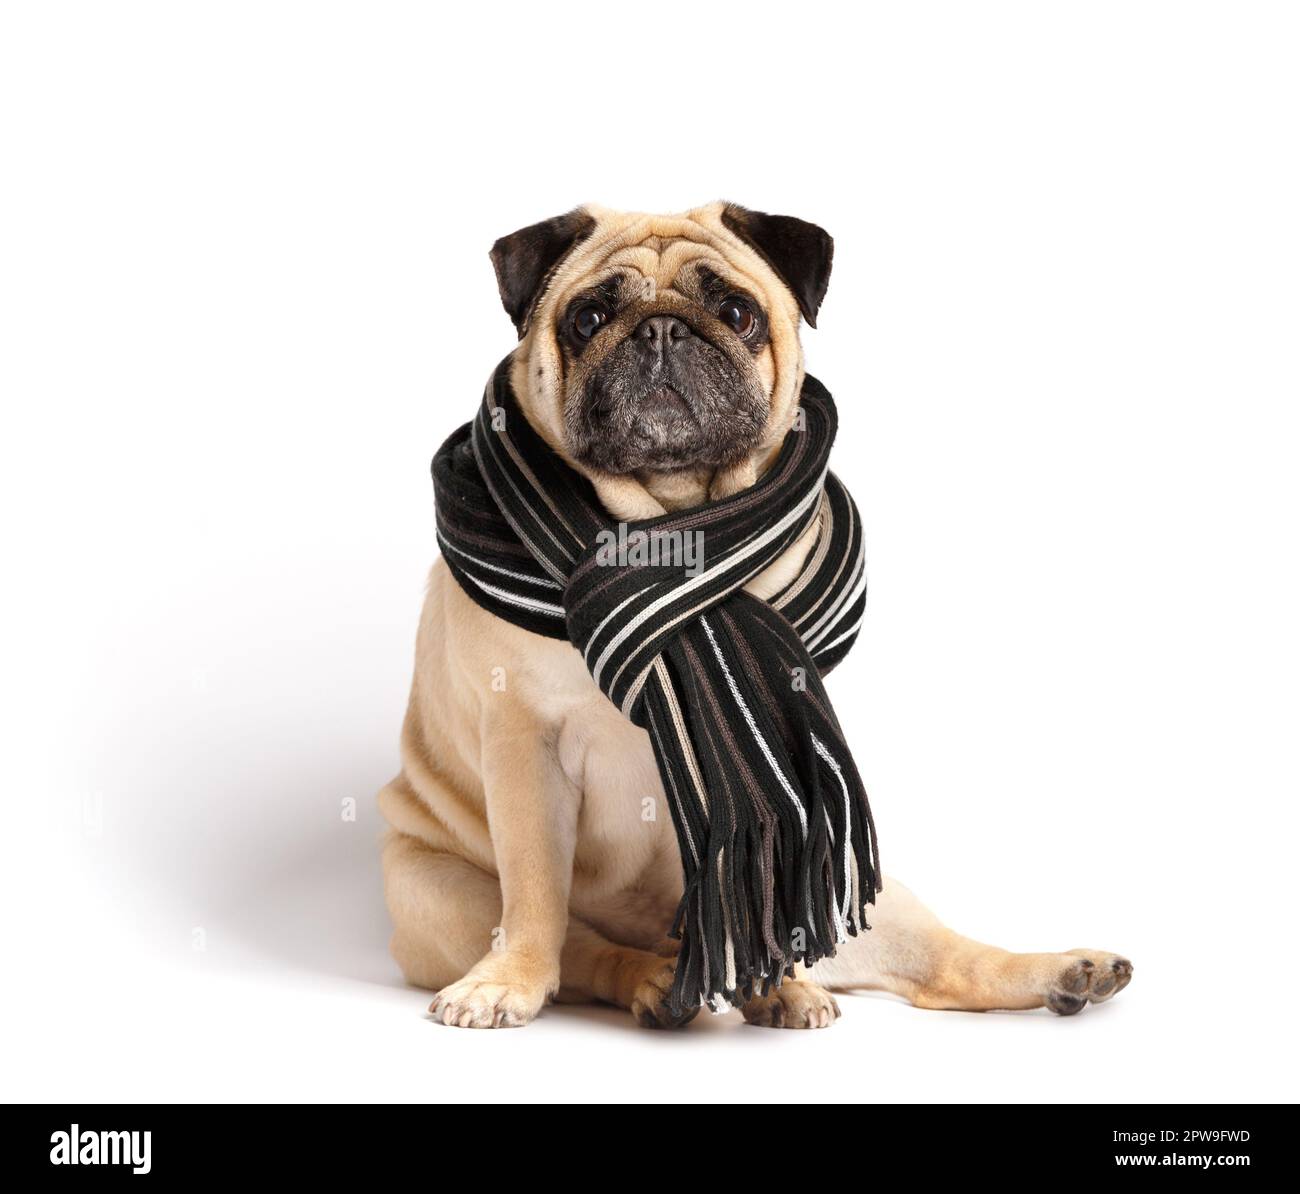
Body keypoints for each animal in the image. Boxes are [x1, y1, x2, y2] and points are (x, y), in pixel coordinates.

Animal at [377, 202, 1128, 1030]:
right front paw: (509, 981)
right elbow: (537, 891)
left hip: (874, 903)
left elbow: (764, 877)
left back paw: (1063, 972)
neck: (672, 524)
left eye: (737, 314)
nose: (660, 329)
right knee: (587, 950)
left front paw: (777, 982)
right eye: (588, 318)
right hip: (437, 890)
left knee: (944, 966)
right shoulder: (524, 746)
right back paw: (650, 984)